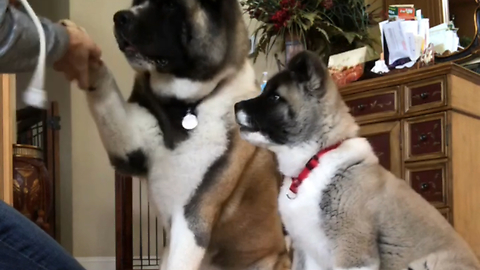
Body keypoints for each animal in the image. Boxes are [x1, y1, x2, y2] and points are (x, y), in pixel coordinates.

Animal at [80, 0, 290, 270]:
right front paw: (84, 55)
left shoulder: (192, 218)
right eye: (136, 2)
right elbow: (107, 96)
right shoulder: (130, 147)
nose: (120, 18)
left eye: (170, 6)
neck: (186, 108)